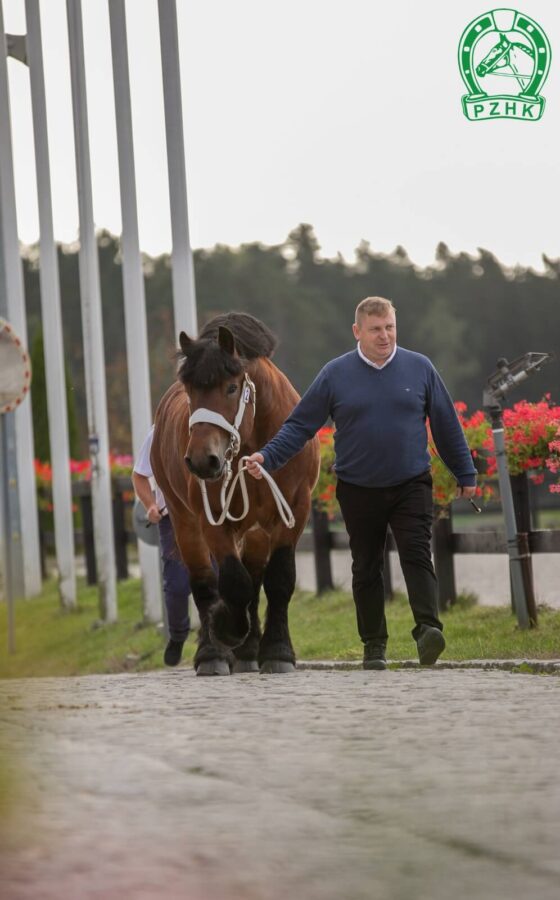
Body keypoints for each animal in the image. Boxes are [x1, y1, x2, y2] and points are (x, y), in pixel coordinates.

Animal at [151, 312, 320, 672]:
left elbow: (278, 579)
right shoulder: (212, 519)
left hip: (256, 531)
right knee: (204, 582)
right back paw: (212, 652)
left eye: (231, 387)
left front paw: (277, 651)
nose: (202, 460)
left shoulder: (294, 512)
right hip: (185, 523)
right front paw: (226, 628)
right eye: (190, 391)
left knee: (254, 580)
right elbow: (231, 581)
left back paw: (248, 650)